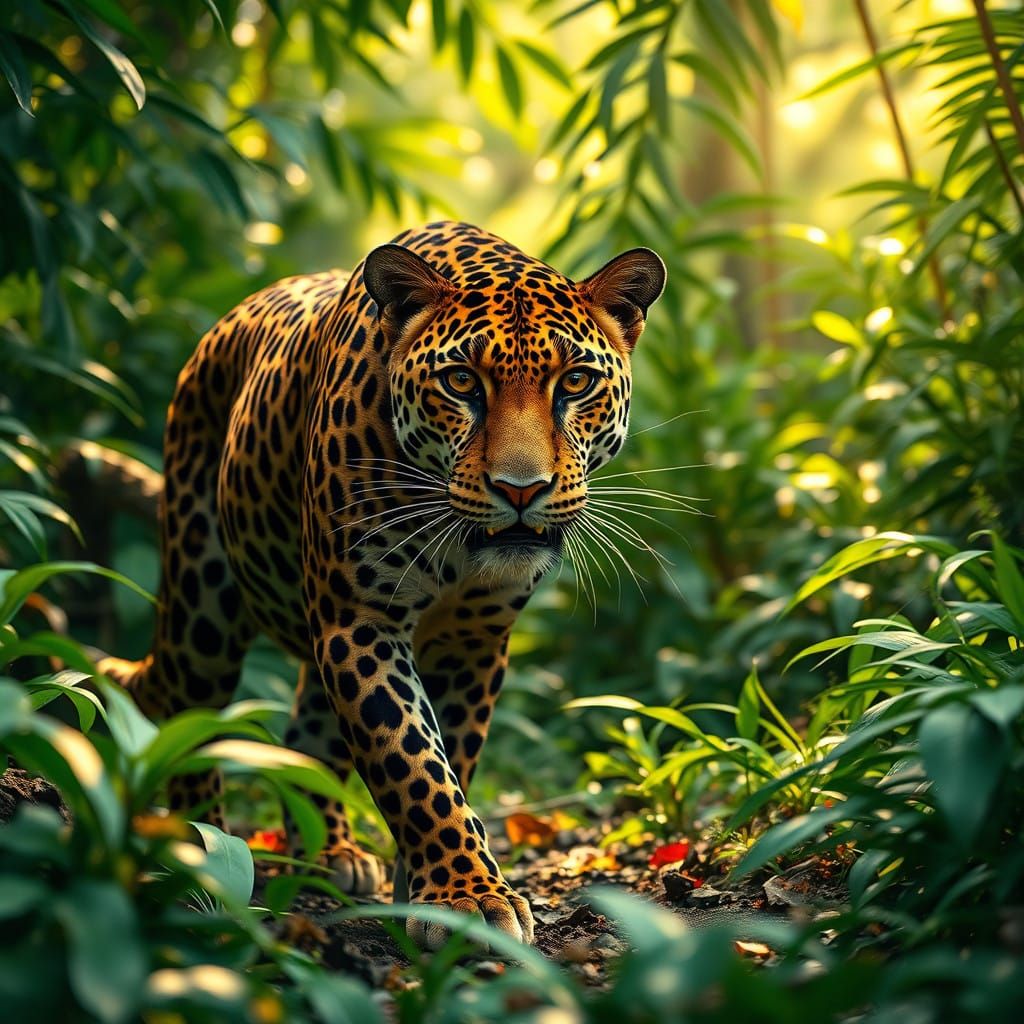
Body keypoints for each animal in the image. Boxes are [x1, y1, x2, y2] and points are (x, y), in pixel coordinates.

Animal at [98, 220, 665, 949]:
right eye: (461, 382)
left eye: (574, 382)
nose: (521, 490)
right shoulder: (360, 620)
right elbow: (411, 763)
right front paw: (467, 896)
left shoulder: (474, 640)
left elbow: (450, 758)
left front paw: (426, 890)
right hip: (204, 606)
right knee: (186, 716)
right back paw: (205, 859)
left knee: (306, 731)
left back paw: (329, 852)